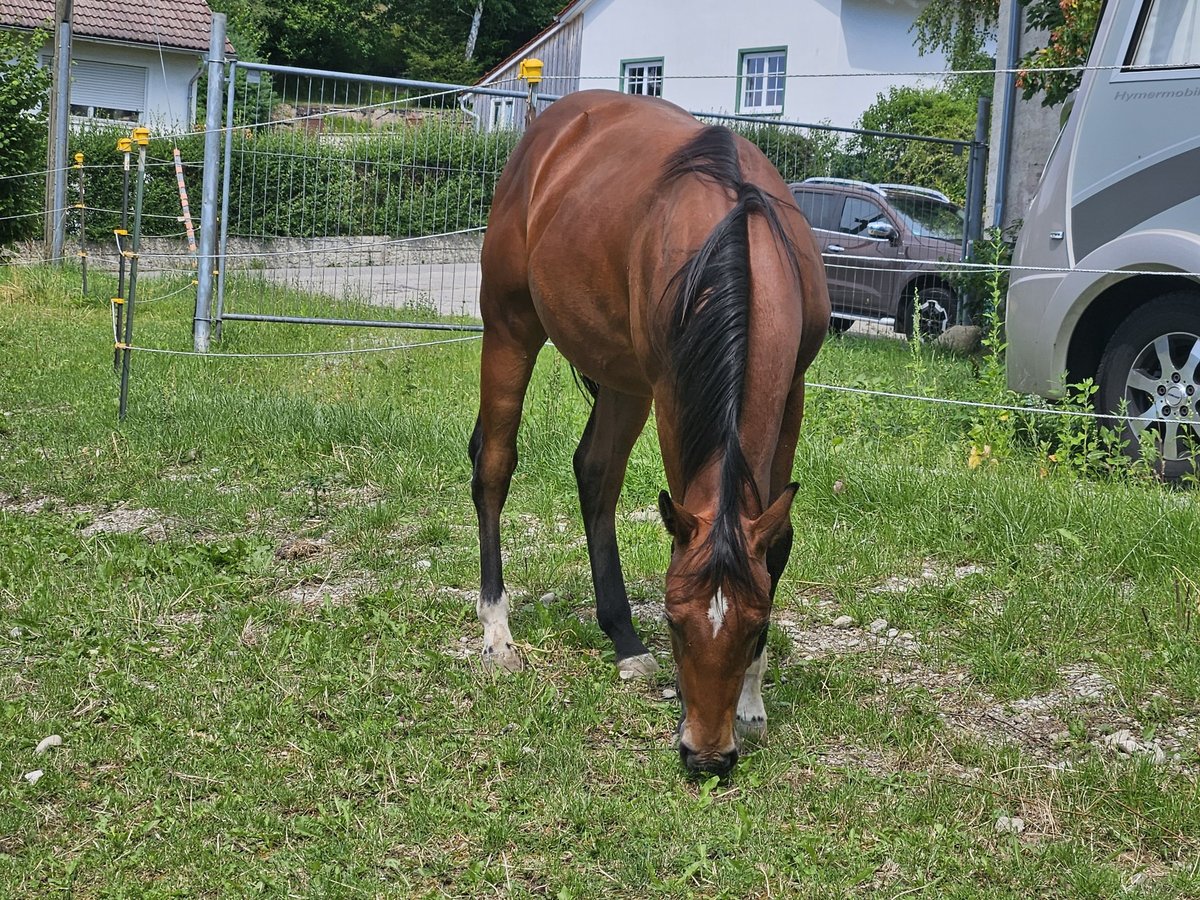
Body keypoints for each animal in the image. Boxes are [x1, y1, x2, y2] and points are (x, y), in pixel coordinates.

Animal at [469, 90, 829, 776]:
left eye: (755, 627)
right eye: (674, 620)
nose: (707, 756)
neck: (738, 235)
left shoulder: (793, 387)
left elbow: (778, 539)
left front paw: (752, 702)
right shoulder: (673, 392)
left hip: (624, 378)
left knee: (596, 473)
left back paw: (620, 636)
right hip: (510, 328)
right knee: (494, 465)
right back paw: (497, 631)